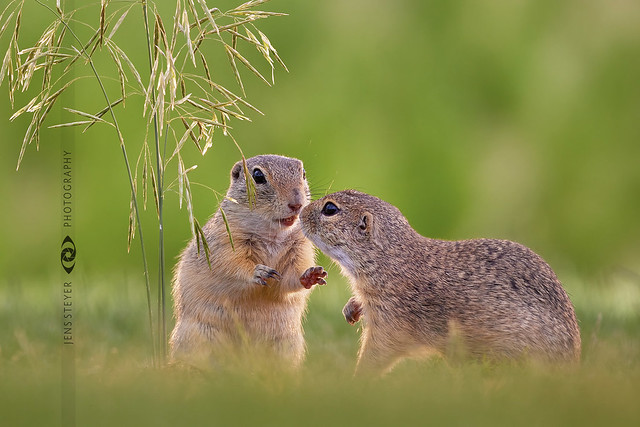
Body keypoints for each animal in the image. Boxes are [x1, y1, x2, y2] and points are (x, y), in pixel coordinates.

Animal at [170, 155, 328, 372]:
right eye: (258, 176)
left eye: (303, 173)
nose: (297, 204)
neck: (272, 234)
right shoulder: (227, 240)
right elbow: (232, 265)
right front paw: (258, 272)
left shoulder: (300, 248)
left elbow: (289, 279)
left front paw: (311, 275)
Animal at [300, 191, 580, 374]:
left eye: (330, 209)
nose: (301, 212)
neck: (390, 259)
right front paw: (351, 308)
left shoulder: (391, 320)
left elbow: (377, 353)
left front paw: (356, 379)